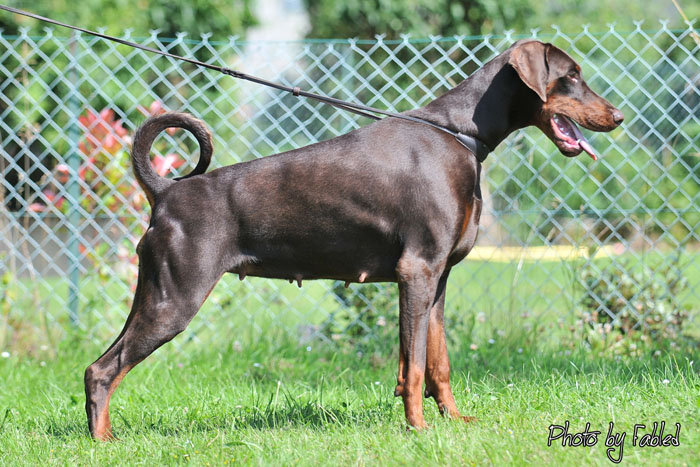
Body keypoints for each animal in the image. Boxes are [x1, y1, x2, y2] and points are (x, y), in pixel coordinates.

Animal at [84, 39, 623, 440]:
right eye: (571, 75)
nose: (617, 117)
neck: (459, 134)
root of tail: (166, 191)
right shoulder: (417, 271)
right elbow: (413, 366)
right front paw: (418, 429)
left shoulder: (438, 280)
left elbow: (438, 361)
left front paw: (454, 420)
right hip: (176, 297)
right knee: (103, 370)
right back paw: (105, 442)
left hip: (154, 292)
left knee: (103, 363)